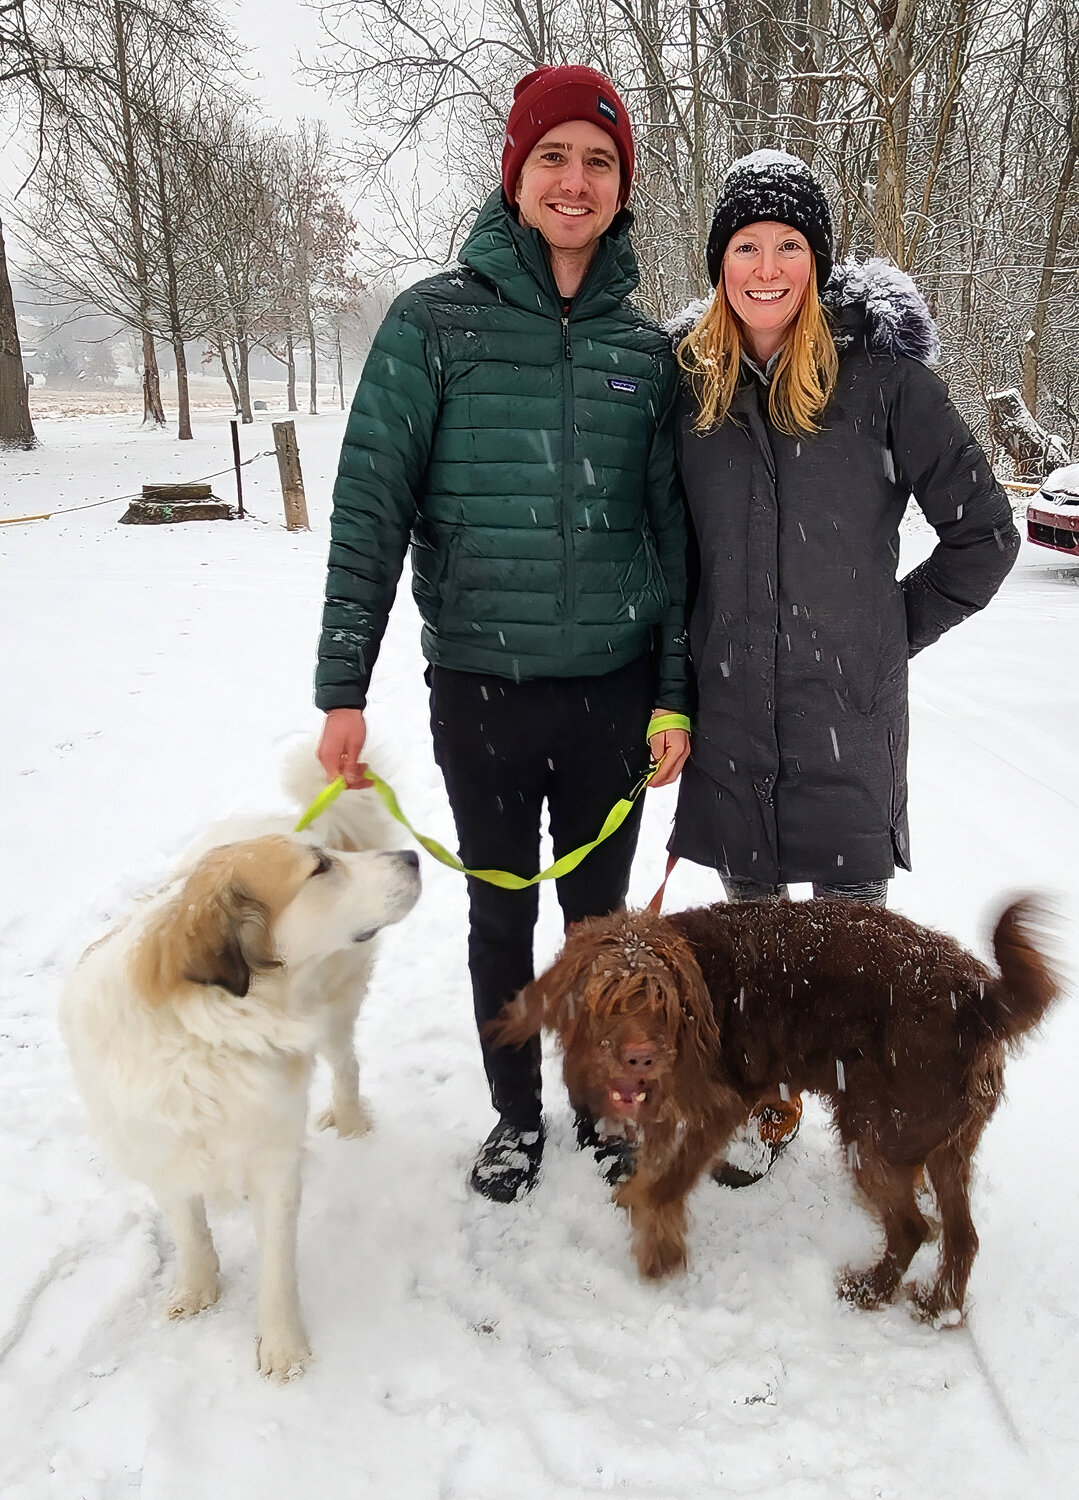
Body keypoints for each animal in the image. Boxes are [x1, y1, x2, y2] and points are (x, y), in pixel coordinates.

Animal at [58, 750, 423, 1380]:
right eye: (321, 867)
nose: (414, 857)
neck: (207, 1030)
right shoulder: (164, 1154)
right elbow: (191, 1234)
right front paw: (197, 1289)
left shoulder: (273, 1159)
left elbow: (277, 1267)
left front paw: (283, 1348)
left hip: (333, 1013)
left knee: (346, 1067)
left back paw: (352, 1125)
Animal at [489, 894, 1062, 1320]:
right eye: (606, 997)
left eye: (661, 1000)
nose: (642, 1058)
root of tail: (981, 1002)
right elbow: (656, 1169)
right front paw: (640, 1204)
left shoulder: (718, 1108)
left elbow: (668, 1184)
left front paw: (659, 1254)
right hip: (946, 1146)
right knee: (963, 1237)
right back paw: (941, 1309)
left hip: (877, 1137)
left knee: (913, 1229)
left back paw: (870, 1293)